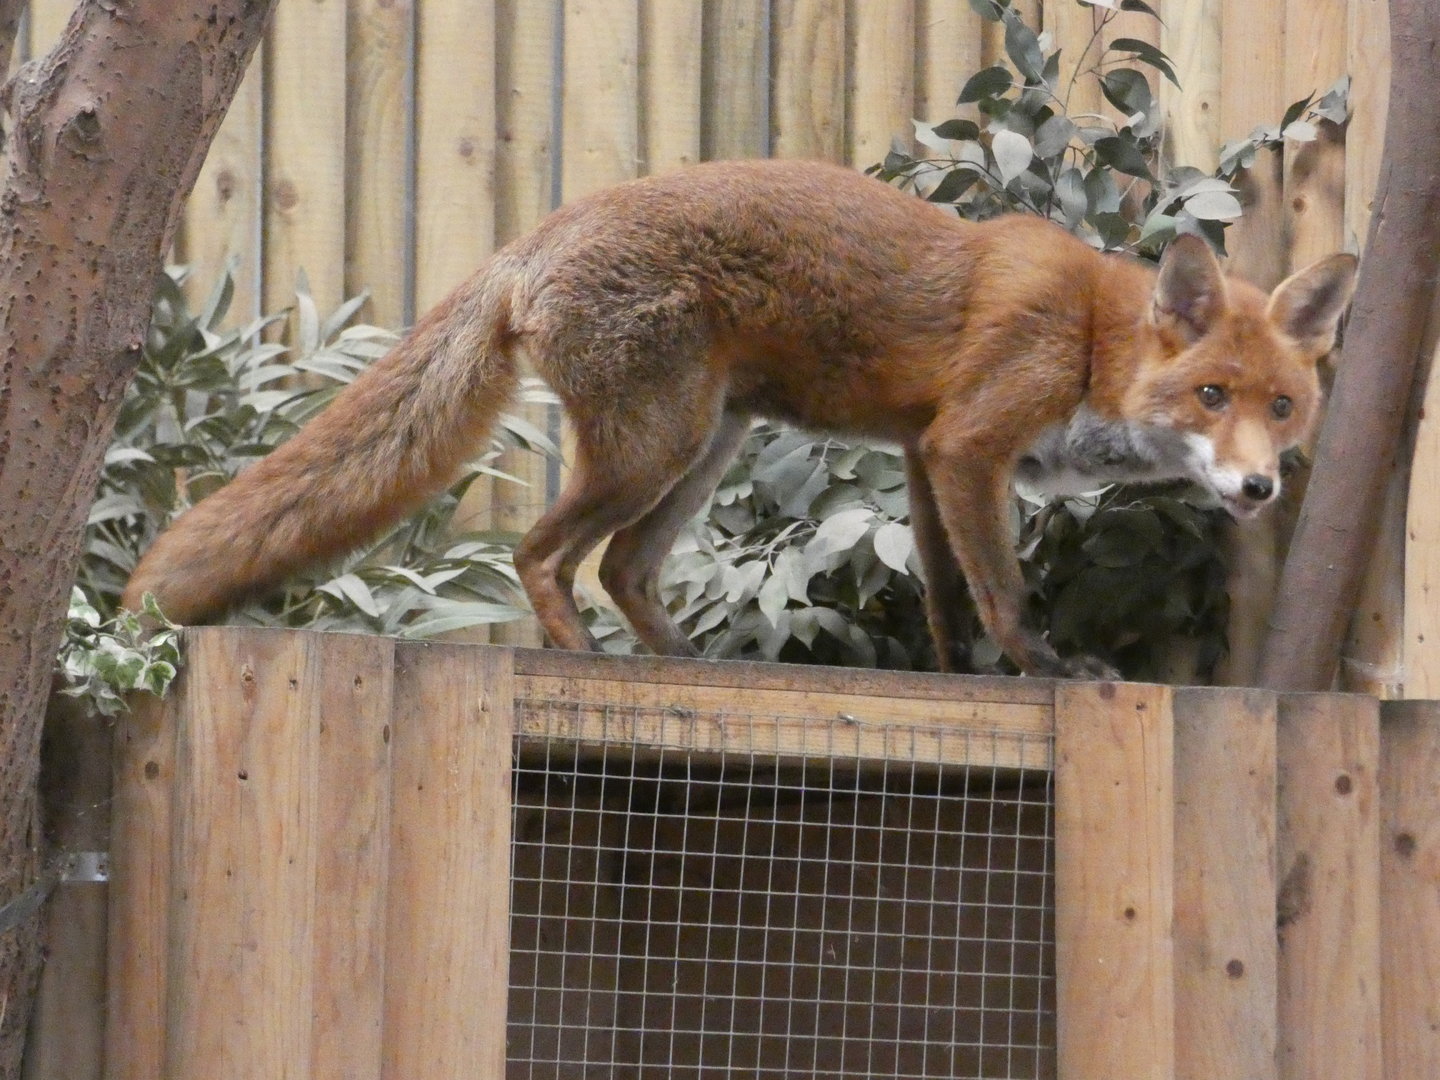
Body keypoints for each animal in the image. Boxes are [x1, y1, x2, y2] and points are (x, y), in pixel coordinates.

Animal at [121, 158, 1357, 679]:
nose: (1259, 487)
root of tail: (532, 240)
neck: (1094, 338)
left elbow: (946, 600)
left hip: (705, 446)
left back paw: (680, 657)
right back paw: (586, 659)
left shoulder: (926, 455)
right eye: (1210, 397)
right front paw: (1048, 669)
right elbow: (1002, 593)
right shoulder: (969, 445)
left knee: (622, 567)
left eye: (1282, 406)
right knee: (543, 553)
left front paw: (961, 678)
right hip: (653, 446)